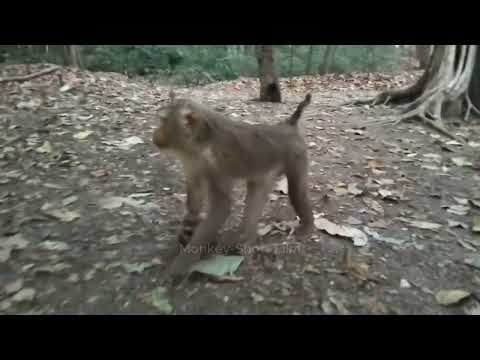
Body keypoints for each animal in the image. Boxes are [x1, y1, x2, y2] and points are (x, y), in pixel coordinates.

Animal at [154, 91, 316, 282]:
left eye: (163, 121)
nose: (155, 134)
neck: (200, 142)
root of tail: (288, 125)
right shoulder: (192, 162)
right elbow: (195, 198)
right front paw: (187, 227)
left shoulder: (217, 166)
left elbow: (221, 207)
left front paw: (180, 265)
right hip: (266, 168)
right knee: (256, 191)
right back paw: (245, 237)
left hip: (296, 155)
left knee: (296, 191)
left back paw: (306, 227)